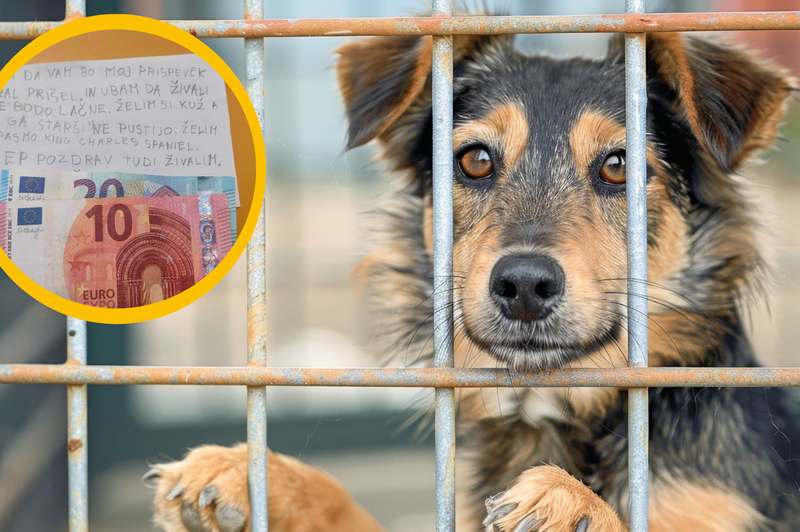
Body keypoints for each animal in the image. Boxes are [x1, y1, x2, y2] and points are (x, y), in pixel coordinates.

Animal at [147, 28, 800, 532]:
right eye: (476, 160)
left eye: (619, 166)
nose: (524, 285)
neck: (559, 410)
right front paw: (253, 475)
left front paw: (574, 505)